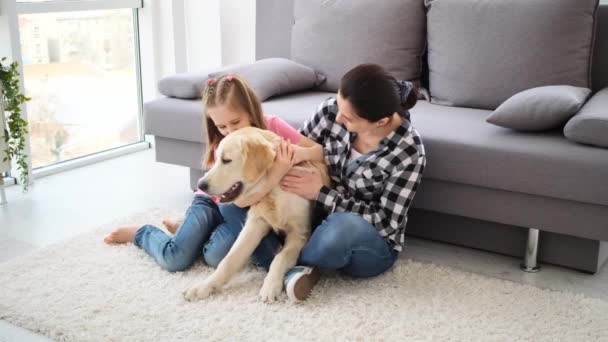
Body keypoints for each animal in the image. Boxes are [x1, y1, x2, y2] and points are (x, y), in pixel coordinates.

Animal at [184, 125, 330, 302]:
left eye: (226, 160)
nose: (201, 184)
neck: (274, 189)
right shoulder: (255, 224)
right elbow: (229, 259)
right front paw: (204, 287)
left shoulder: (300, 233)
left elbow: (280, 257)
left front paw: (270, 286)